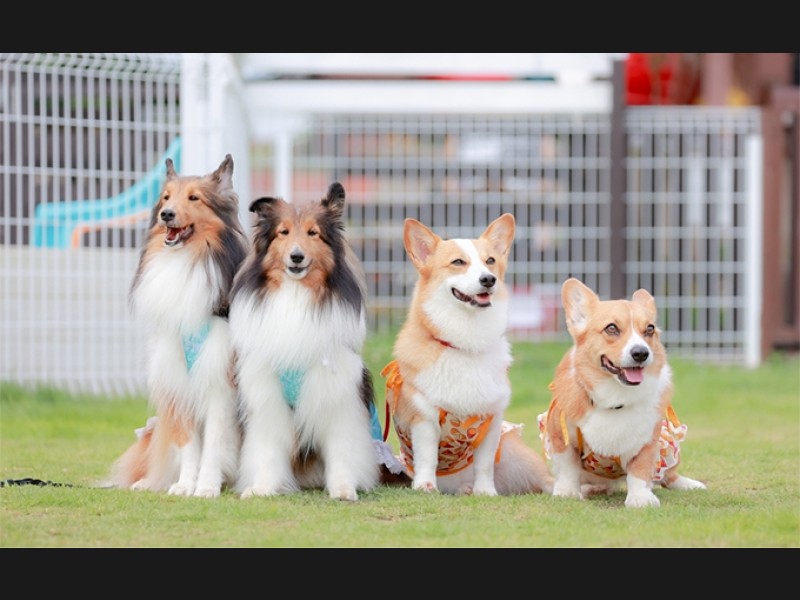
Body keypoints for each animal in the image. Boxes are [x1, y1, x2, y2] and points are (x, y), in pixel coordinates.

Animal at [110, 154, 249, 498]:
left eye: (194, 198)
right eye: (166, 198)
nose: (166, 215)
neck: (187, 261)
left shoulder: (219, 385)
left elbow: (213, 444)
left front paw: (207, 486)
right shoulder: (177, 383)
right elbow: (187, 445)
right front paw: (186, 484)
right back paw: (147, 482)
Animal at [229, 182, 382, 501]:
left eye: (313, 233)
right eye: (283, 232)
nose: (296, 257)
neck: (297, 294)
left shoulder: (337, 394)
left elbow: (341, 447)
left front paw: (343, 488)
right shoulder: (266, 395)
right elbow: (267, 448)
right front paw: (262, 488)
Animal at [381, 214, 554, 496]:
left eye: (490, 261)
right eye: (458, 262)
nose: (488, 279)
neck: (465, 343)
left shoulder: (491, 423)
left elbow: (484, 464)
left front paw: (486, 492)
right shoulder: (424, 418)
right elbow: (427, 457)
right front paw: (425, 485)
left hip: (515, 455)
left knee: (544, 480)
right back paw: (464, 489)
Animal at [538, 277, 707, 508]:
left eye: (649, 329)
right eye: (611, 328)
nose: (641, 353)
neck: (615, 398)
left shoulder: (648, 440)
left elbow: (640, 471)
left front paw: (640, 499)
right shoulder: (559, 435)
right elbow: (567, 468)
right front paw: (567, 492)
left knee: (667, 476)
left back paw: (689, 484)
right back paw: (592, 488)